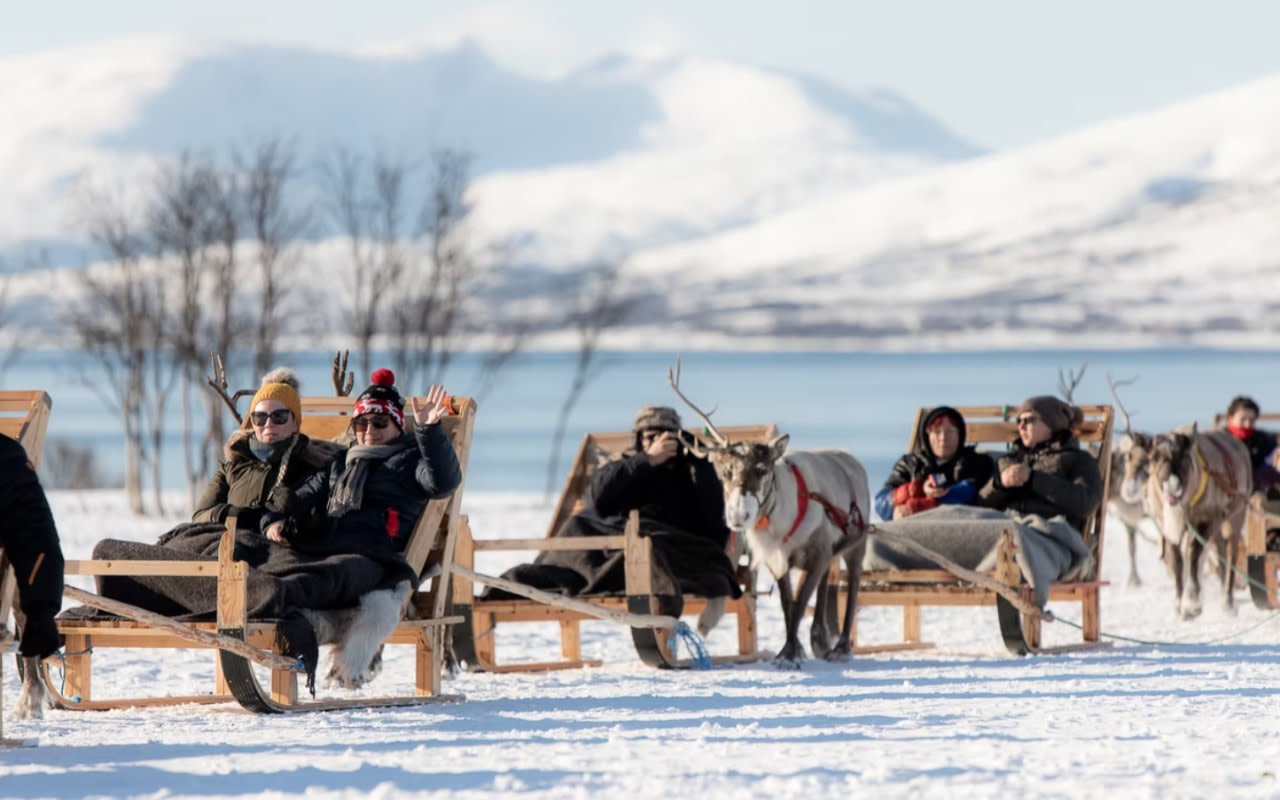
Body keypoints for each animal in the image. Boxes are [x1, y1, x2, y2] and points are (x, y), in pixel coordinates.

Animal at [669, 359, 869, 668]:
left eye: (762, 470)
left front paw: (790, 654)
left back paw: (841, 647)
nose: (738, 516)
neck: (779, 521)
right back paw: (819, 640)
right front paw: (791, 649)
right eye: (725, 471)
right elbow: (788, 603)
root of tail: (853, 461)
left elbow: (800, 601)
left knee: (854, 585)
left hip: (857, 543)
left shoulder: (816, 551)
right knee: (826, 582)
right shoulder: (778, 558)